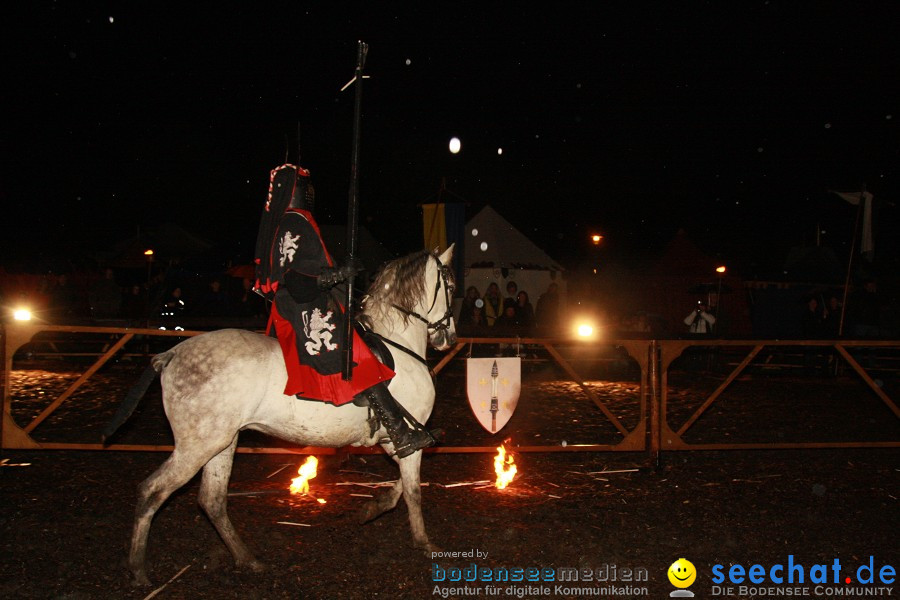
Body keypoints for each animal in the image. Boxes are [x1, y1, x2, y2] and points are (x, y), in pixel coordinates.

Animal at [104, 246, 454, 584]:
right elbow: (412, 490)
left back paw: (248, 560)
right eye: (450, 286)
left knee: (212, 500)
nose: (447, 338)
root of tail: (170, 354)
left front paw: (372, 509)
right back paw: (138, 569)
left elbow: (400, 486)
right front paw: (424, 542)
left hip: (222, 443)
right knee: (152, 491)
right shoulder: (409, 438)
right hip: (198, 446)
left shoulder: (391, 441)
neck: (397, 343)